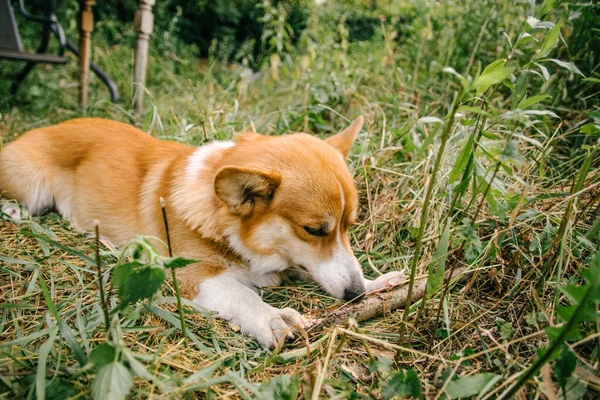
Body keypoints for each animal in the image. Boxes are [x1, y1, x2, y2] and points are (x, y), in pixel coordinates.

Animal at [1, 117, 404, 348]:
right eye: (313, 230)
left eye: (349, 226)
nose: (354, 296)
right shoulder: (191, 275)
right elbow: (241, 294)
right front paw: (269, 317)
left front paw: (377, 283)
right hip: (32, 188)